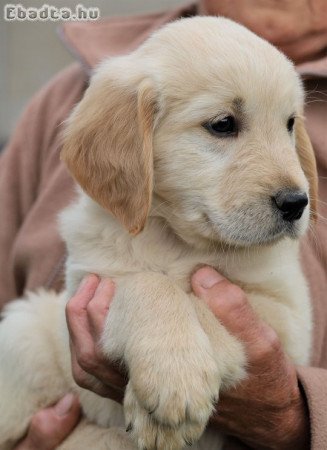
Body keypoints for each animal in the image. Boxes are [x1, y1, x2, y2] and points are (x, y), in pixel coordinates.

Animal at [0, 16, 320, 450]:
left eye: (289, 124)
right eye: (223, 124)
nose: (296, 203)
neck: (176, 239)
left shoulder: (285, 314)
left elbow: (203, 304)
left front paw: (173, 389)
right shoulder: (93, 280)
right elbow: (149, 286)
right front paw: (174, 374)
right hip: (24, 330)